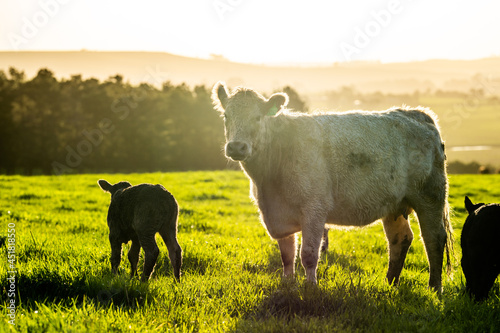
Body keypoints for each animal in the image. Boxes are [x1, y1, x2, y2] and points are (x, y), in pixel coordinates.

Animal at [211, 81, 454, 290]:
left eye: (258, 117)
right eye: (225, 116)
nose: (236, 147)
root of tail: (416, 113)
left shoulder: (314, 208)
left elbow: (309, 254)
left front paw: (310, 287)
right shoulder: (278, 213)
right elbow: (287, 255)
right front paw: (287, 283)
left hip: (430, 196)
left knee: (433, 238)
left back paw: (435, 288)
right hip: (395, 205)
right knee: (400, 239)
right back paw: (390, 284)